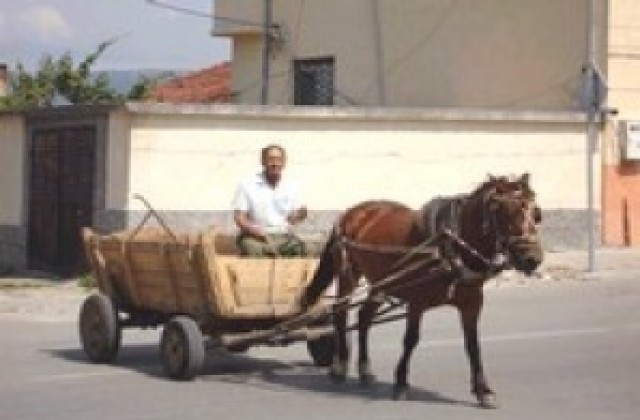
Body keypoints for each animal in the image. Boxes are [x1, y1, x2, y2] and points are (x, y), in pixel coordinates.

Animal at [302, 173, 544, 406]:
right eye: (503, 211)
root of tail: (351, 212)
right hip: (348, 272)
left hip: (382, 281)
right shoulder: (417, 302)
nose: (533, 259)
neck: (451, 248)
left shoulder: (472, 303)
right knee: (341, 314)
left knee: (364, 317)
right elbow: (411, 339)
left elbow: (473, 344)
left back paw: (365, 370)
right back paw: (339, 367)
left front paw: (483, 390)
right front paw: (400, 383)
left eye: (537, 213)